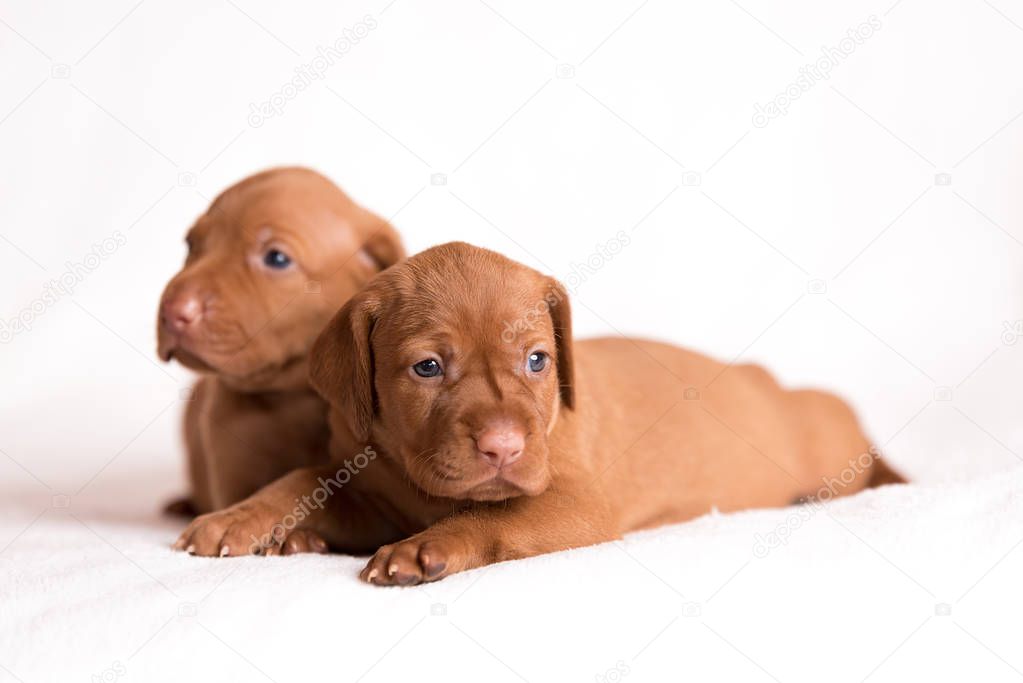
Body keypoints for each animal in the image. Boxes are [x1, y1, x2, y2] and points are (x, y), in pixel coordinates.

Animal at [157, 166, 401, 556]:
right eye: (192, 245)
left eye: (276, 258)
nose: (173, 311)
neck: (296, 398)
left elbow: (304, 483)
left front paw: (285, 533)